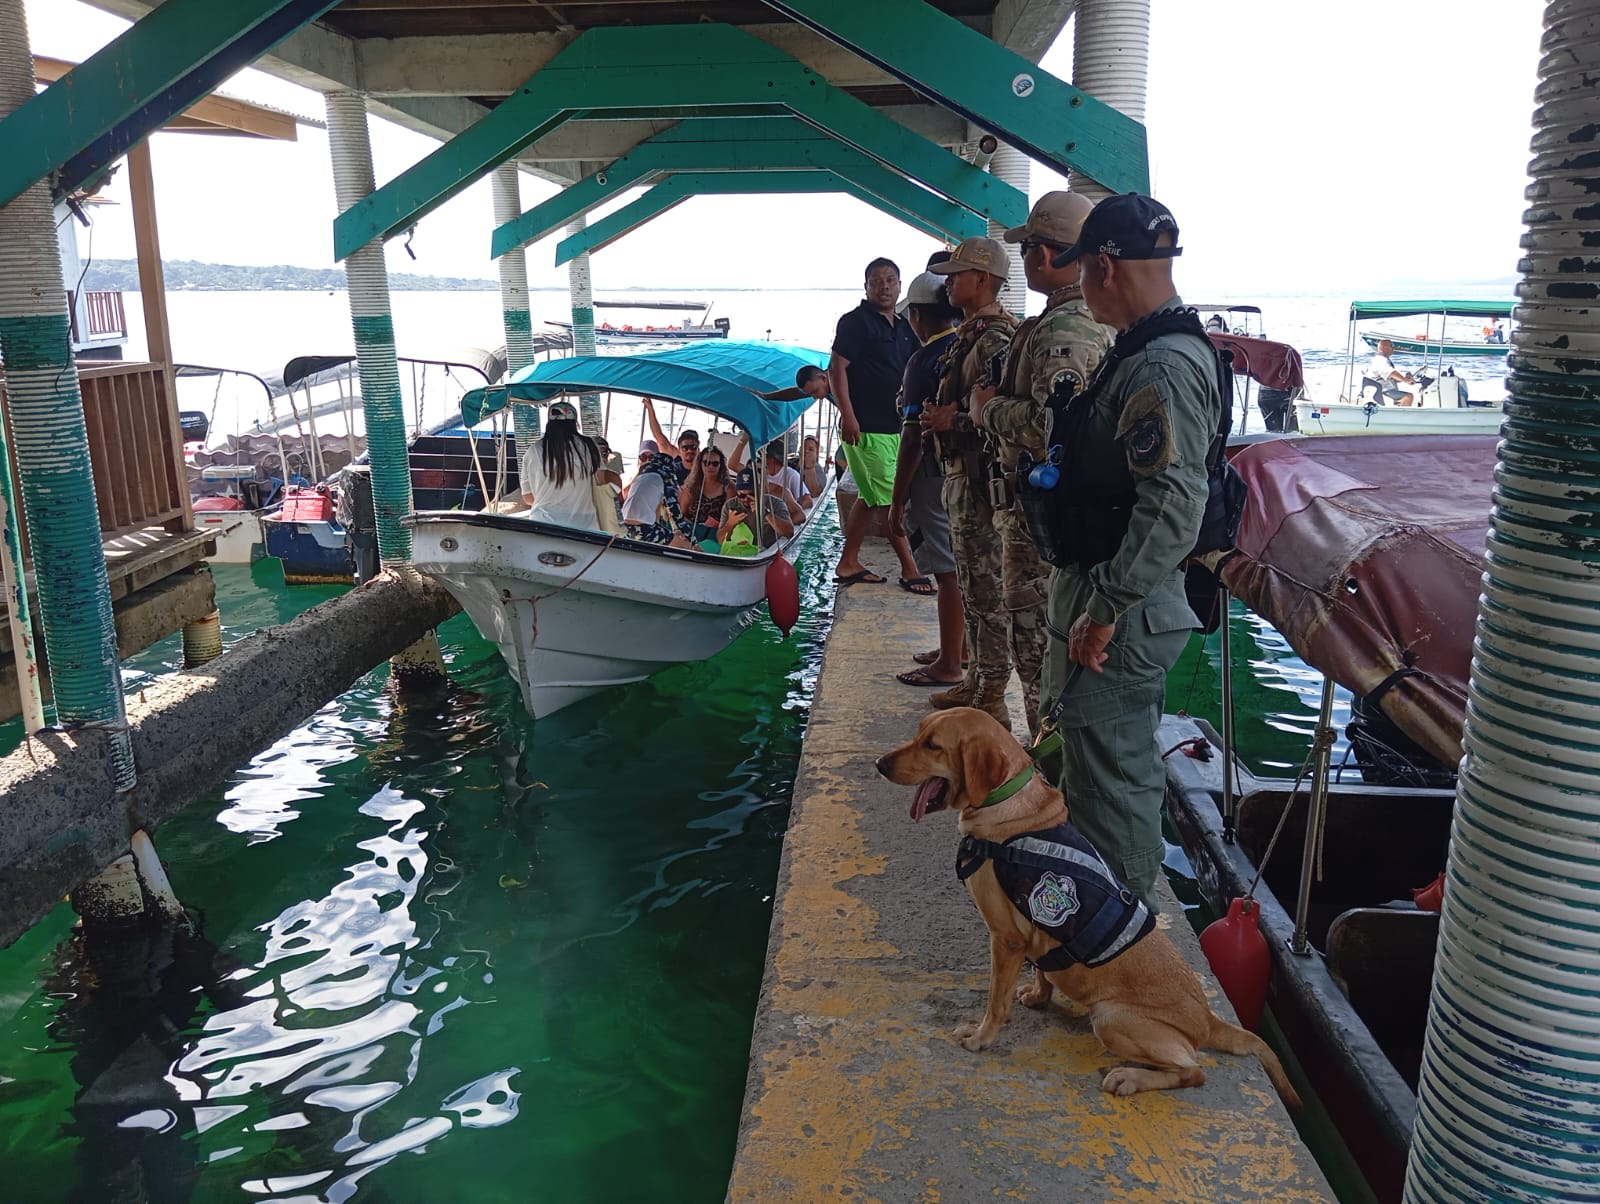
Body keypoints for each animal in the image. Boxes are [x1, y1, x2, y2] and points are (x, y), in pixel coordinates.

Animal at [876, 704, 1299, 1107]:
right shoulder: (1035, 935)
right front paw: (1038, 996)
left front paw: (982, 1037)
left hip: (1111, 1017)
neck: (1007, 802)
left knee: (1193, 1071)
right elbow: (1043, 969)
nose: (879, 764)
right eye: (919, 734)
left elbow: (995, 1001)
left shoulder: (1006, 939)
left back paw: (1130, 1077)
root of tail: (1208, 1020)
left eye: (933, 745)